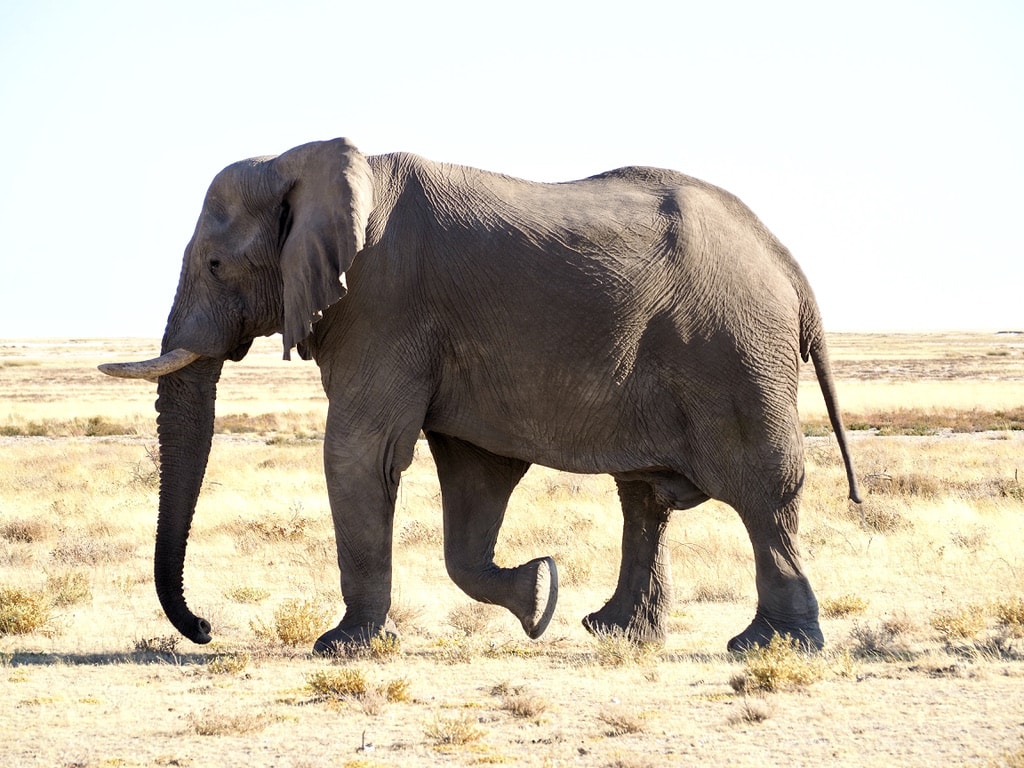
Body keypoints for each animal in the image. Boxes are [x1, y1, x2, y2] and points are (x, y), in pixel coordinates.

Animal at [99, 137, 860, 655]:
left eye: (215, 264)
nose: (204, 627)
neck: (312, 163)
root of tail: (788, 265)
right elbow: (473, 474)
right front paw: (540, 594)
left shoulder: (382, 303)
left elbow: (360, 454)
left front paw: (342, 646)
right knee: (645, 496)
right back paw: (613, 632)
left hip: (734, 350)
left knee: (762, 494)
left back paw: (768, 646)